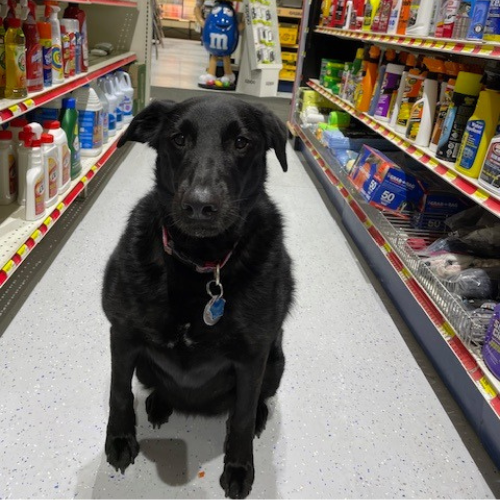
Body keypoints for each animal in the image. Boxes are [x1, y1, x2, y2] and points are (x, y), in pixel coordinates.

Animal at [103, 95, 294, 498]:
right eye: (178, 139)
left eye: (241, 142)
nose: (199, 205)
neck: (200, 264)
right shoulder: (122, 335)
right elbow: (119, 392)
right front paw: (120, 439)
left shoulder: (252, 357)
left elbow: (240, 418)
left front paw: (239, 466)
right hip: (145, 363)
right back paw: (160, 403)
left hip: (275, 361)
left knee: (253, 402)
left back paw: (259, 415)